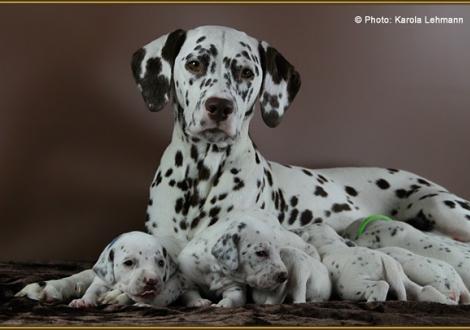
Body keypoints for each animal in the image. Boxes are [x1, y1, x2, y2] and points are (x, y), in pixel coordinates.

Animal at [176, 210, 320, 308]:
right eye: (261, 253)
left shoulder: (235, 288)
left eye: (279, 253)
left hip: (286, 237)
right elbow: (188, 293)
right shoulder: (187, 278)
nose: (284, 276)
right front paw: (198, 301)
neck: (215, 270)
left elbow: (233, 299)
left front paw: (222, 304)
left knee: (306, 244)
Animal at [294, 223, 452, 302]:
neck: (330, 242)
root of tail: (386, 261)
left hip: (351, 284)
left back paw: (372, 301)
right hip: (404, 280)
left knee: (381, 286)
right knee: (425, 290)